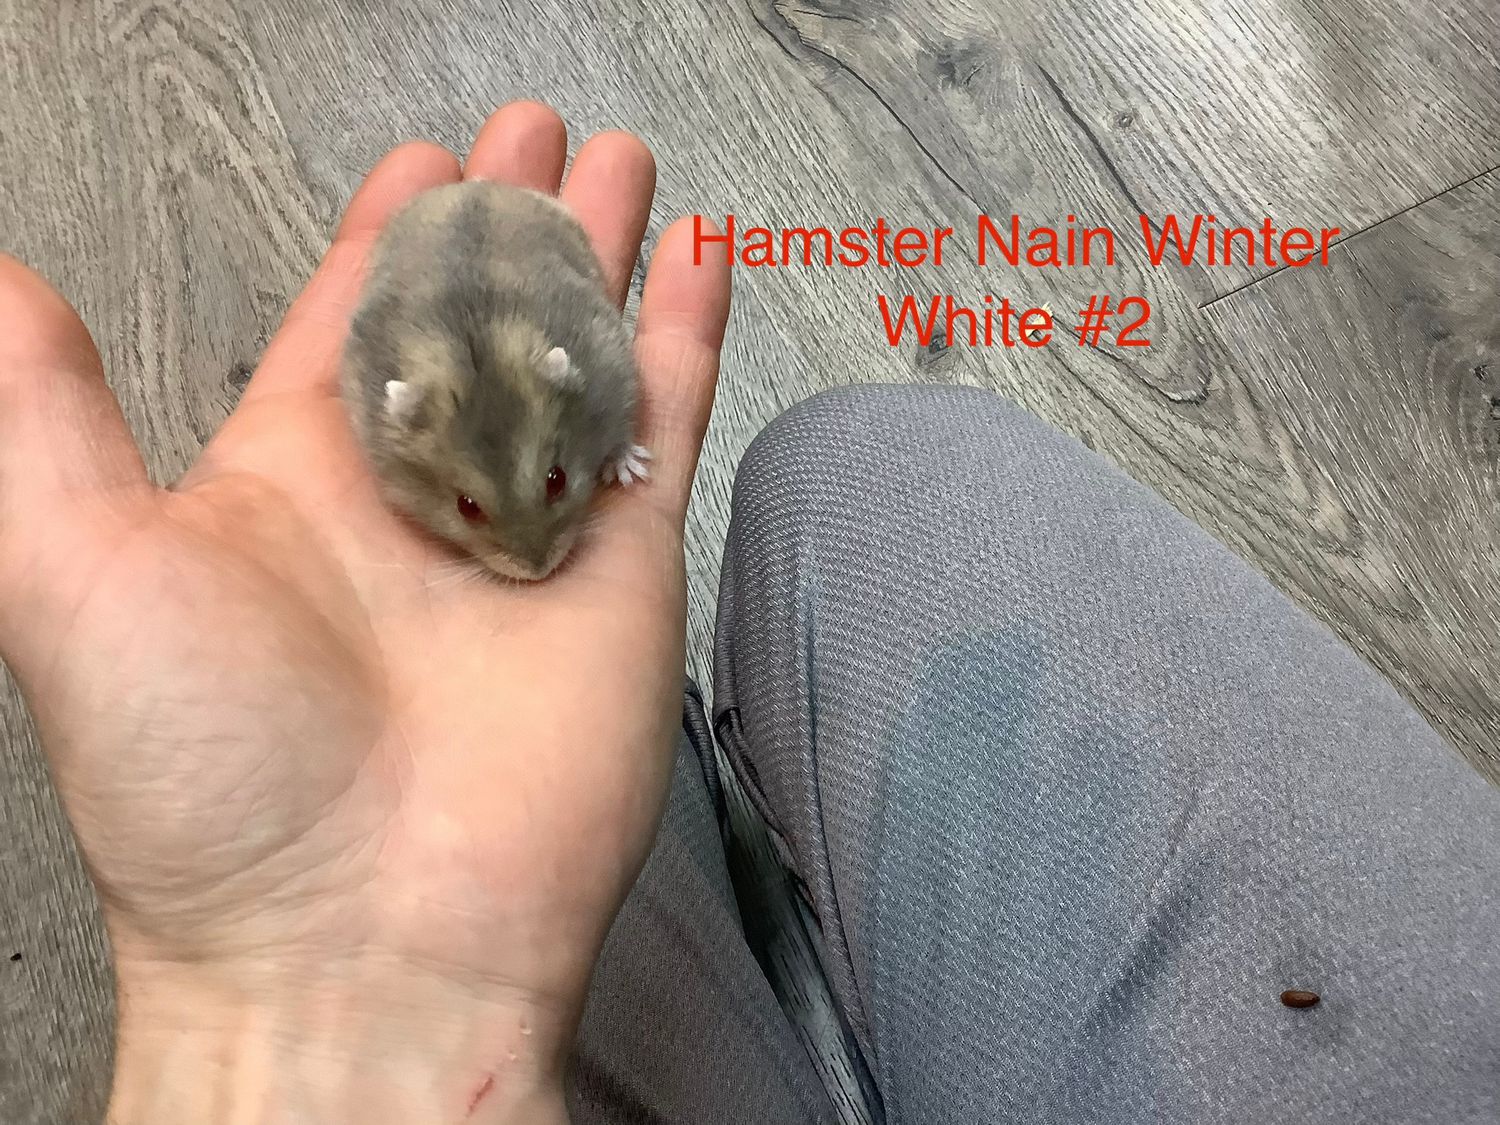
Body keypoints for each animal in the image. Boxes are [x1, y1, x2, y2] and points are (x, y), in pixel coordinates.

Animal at [341, 180, 648, 581]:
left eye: (557, 479)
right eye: (466, 507)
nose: (539, 570)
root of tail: (472, 185)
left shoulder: (611, 362)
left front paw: (632, 470)